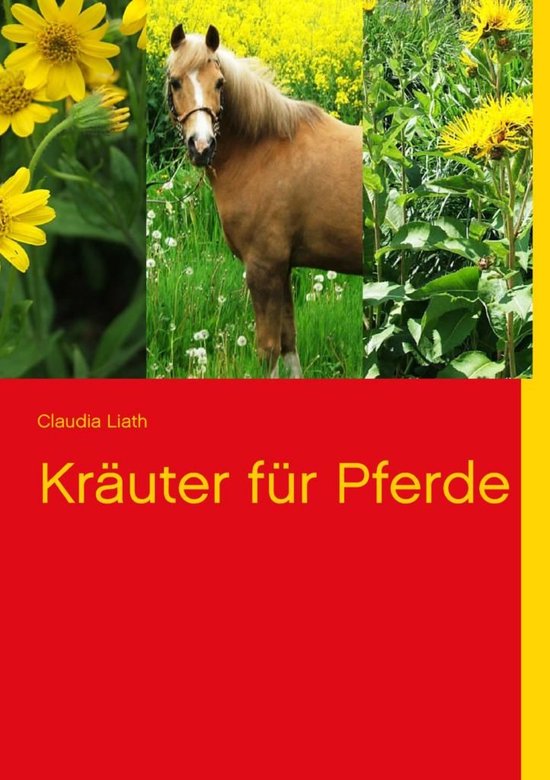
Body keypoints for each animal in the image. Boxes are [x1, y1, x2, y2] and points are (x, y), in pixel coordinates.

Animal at [167, 24, 362, 377]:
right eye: (175, 81)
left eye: (219, 82)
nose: (202, 146)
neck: (261, 151)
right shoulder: (281, 268)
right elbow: (288, 342)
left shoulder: (263, 268)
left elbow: (268, 350)